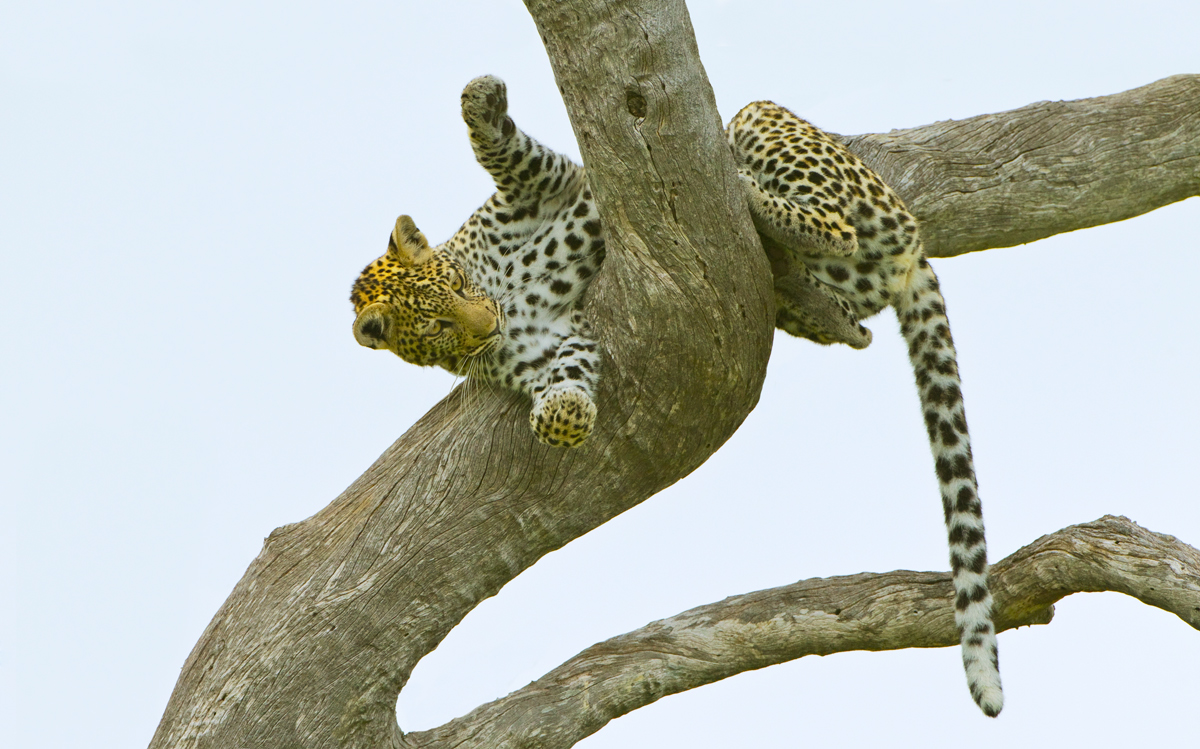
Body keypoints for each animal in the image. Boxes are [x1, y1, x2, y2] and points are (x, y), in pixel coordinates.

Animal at [351, 76, 603, 448]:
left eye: (456, 282)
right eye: (437, 327)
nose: (494, 326)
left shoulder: (547, 189)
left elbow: (506, 156)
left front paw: (480, 99)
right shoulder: (538, 348)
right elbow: (568, 365)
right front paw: (564, 411)